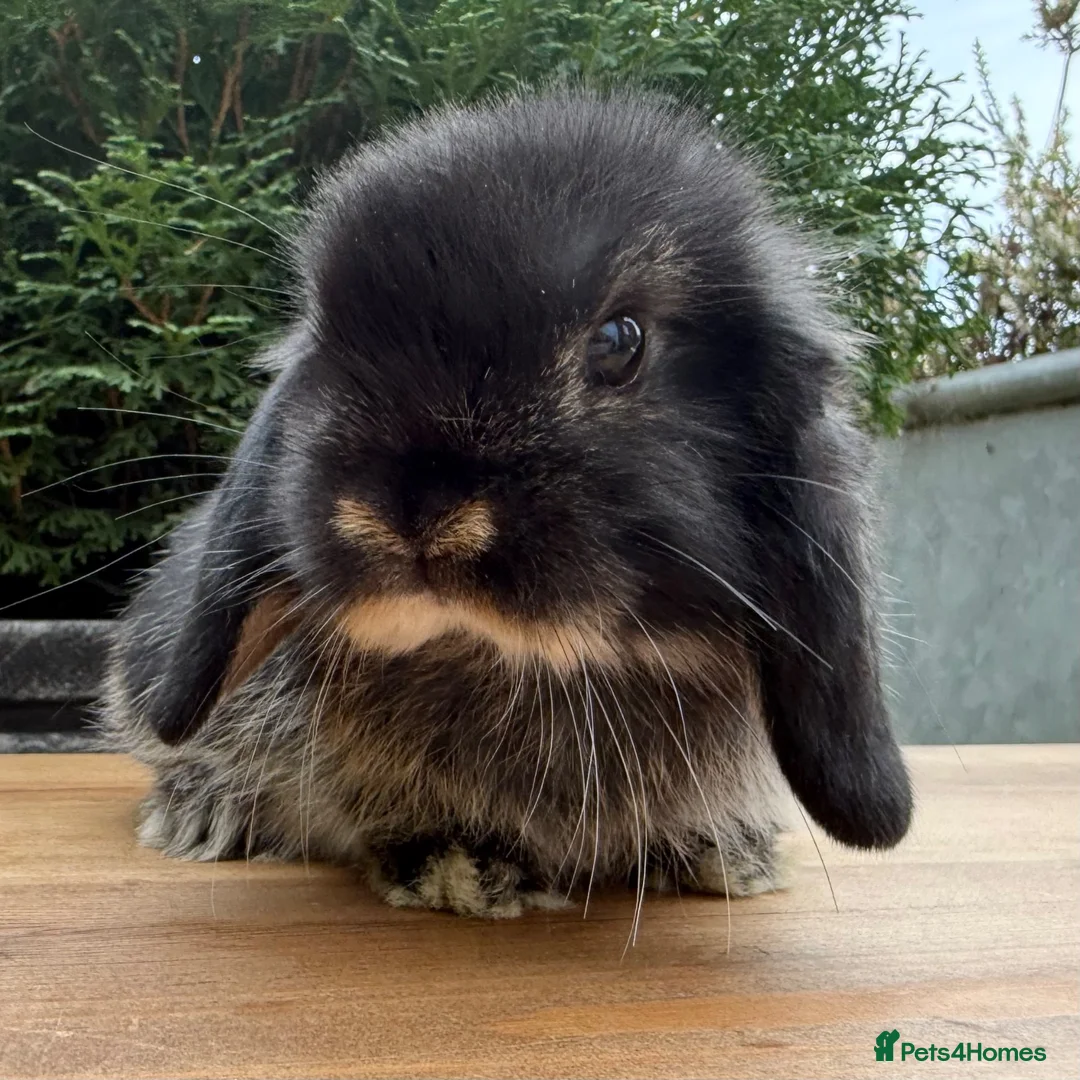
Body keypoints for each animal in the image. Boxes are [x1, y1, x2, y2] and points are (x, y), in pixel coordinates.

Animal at [100, 87, 912, 920]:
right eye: (324, 340)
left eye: (620, 341)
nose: (411, 513)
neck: (536, 665)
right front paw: (460, 865)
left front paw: (727, 855)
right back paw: (201, 813)